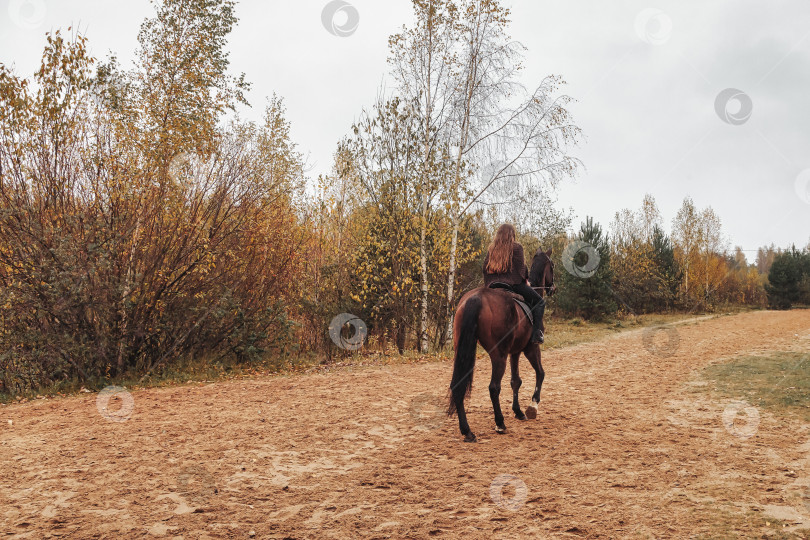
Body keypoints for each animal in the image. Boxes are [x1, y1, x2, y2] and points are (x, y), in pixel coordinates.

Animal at [446, 249, 552, 442]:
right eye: (552, 266)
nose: (552, 287)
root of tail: (476, 297)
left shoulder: (515, 352)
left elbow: (515, 381)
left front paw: (518, 411)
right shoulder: (531, 348)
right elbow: (540, 373)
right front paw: (532, 406)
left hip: (462, 351)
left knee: (458, 386)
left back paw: (467, 430)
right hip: (499, 354)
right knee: (494, 387)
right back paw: (500, 423)